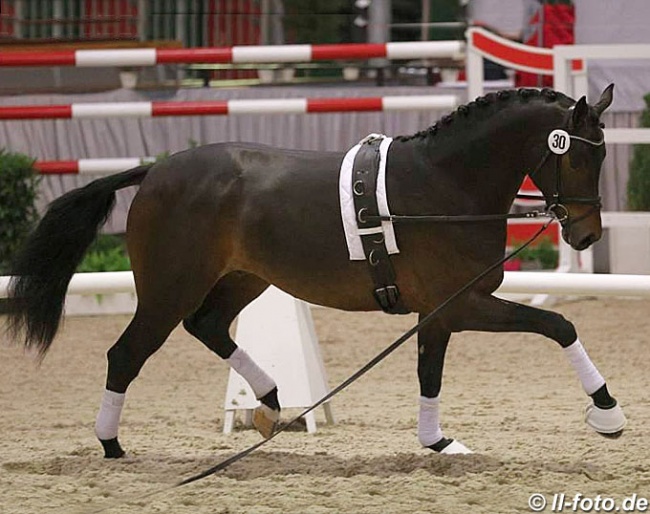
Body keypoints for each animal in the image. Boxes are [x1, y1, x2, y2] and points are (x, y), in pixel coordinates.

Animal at [6, 84, 624, 456]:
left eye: (603, 153)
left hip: (243, 279)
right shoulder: (464, 302)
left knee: (207, 326)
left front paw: (438, 443)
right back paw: (112, 444)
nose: (586, 235)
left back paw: (270, 401)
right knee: (126, 354)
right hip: (167, 288)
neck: (446, 183)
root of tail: (156, 171)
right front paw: (607, 413)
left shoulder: (439, 312)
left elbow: (430, 373)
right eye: (578, 154)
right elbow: (559, 325)